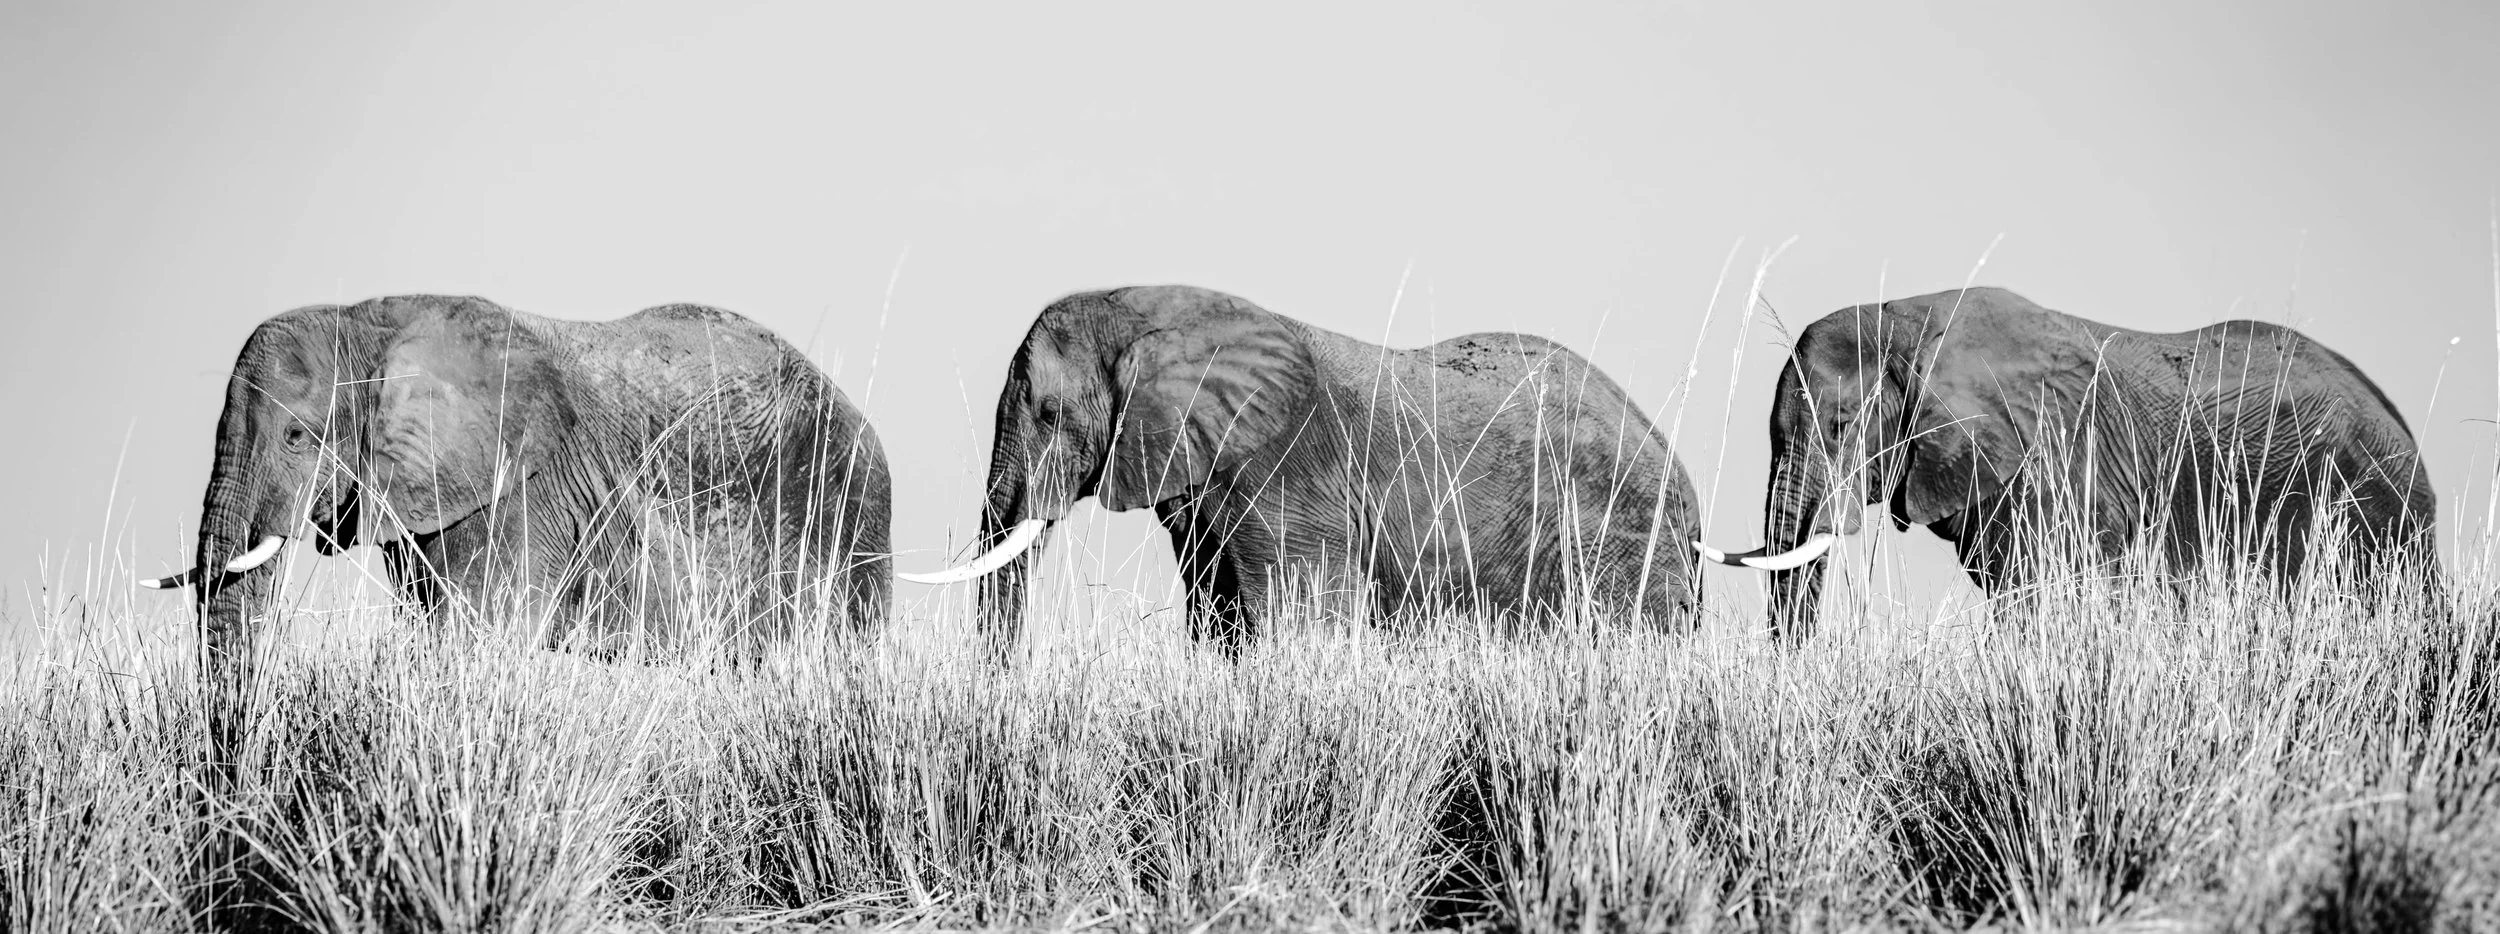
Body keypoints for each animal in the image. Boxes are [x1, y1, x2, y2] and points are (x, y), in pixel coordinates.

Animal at [903, 284, 1705, 657]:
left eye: (1048, 412)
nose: (1005, 681)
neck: (1154, 310)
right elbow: (1218, 612)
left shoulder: (1285, 470)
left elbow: (1297, 612)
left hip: (1618, 542)